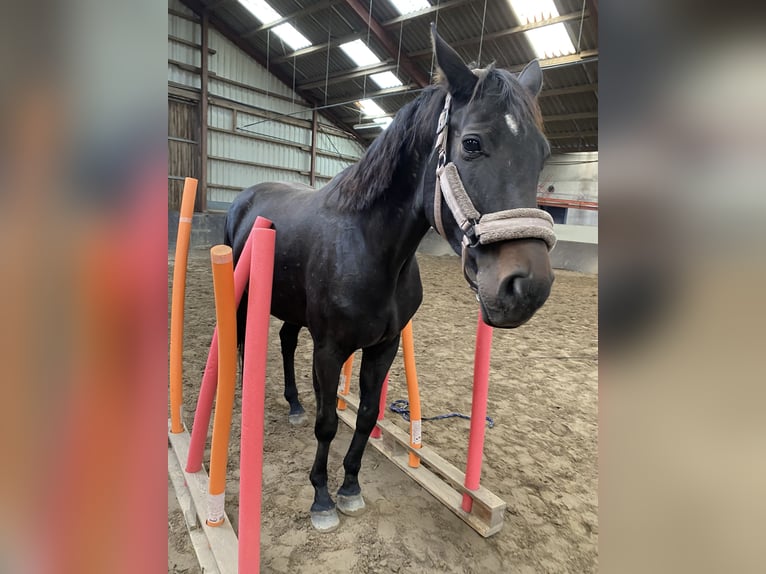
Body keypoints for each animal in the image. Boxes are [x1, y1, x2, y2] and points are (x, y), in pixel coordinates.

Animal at [225, 25, 556, 532]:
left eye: (542, 153)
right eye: (472, 143)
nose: (527, 287)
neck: (370, 247)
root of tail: (246, 197)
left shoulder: (383, 347)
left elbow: (365, 415)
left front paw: (350, 486)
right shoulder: (330, 349)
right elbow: (328, 421)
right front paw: (322, 498)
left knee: (284, 341)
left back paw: (294, 403)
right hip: (245, 299)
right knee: (245, 343)